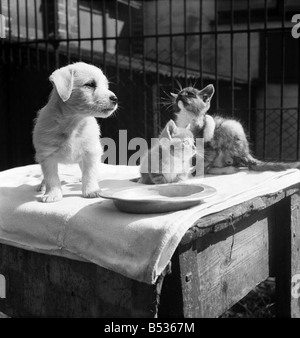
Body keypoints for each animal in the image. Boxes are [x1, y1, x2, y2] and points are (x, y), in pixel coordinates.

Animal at [32, 61, 118, 202]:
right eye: (90, 84)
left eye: (106, 85)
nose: (115, 99)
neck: (74, 124)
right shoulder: (47, 156)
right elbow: (51, 177)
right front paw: (52, 194)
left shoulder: (91, 152)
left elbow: (89, 173)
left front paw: (91, 190)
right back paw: (42, 186)